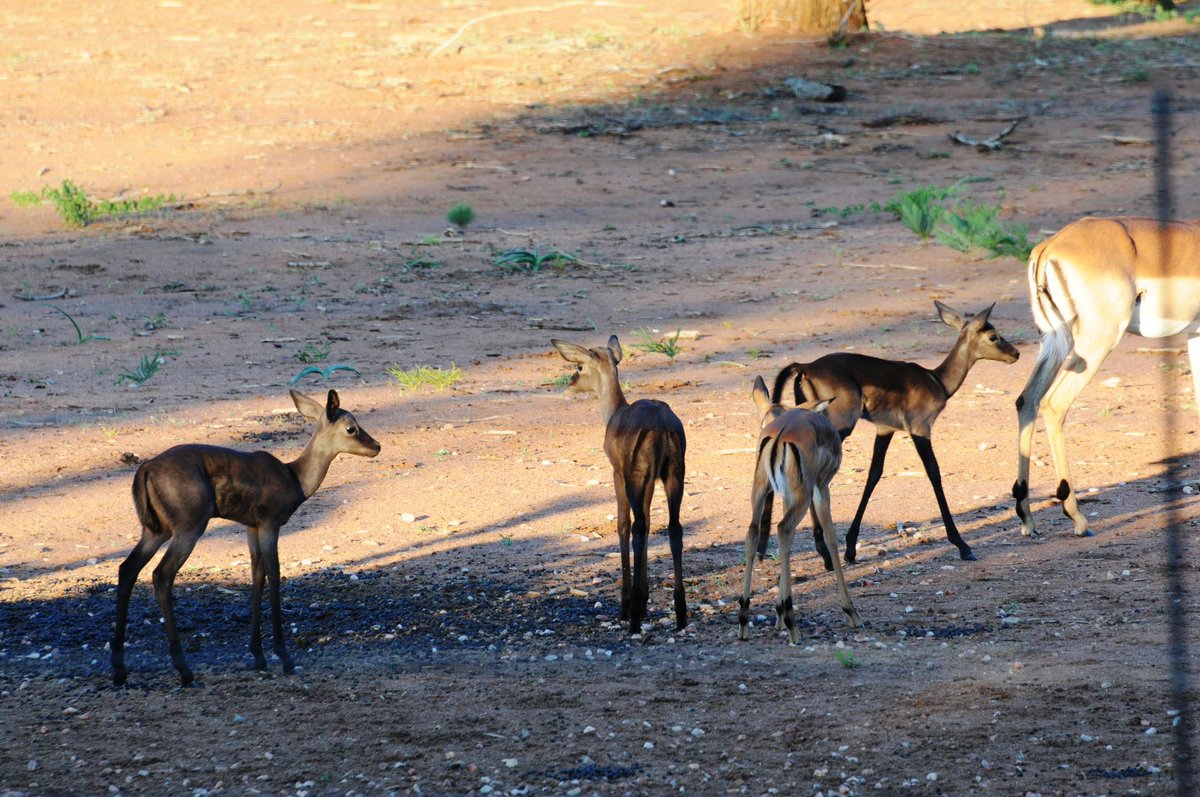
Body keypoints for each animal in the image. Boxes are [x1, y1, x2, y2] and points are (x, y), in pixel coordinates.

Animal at [111, 389, 381, 687]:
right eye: (351, 428)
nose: (376, 446)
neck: (295, 481)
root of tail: (144, 469)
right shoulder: (269, 520)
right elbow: (274, 574)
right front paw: (284, 657)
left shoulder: (251, 526)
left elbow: (257, 576)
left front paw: (258, 655)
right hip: (189, 525)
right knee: (161, 574)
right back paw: (183, 670)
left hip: (156, 530)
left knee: (127, 569)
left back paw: (120, 670)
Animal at [552, 336, 688, 634]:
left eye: (579, 365)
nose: (570, 381)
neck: (615, 412)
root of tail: (661, 426)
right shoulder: (650, 482)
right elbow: (648, 523)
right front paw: (645, 599)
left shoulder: (618, 473)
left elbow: (623, 525)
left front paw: (627, 606)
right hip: (674, 474)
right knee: (672, 527)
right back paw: (681, 615)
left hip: (636, 477)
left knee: (636, 527)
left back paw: (633, 616)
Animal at [739, 376, 861, 643]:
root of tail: (779, 435)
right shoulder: (821, 487)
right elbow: (830, 537)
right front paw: (851, 611)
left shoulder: (786, 495)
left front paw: (777, 615)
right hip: (804, 496)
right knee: (784, 528)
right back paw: (793, 624)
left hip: (761, 492)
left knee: (756, 533)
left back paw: (744, 620)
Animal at [773, 301, 1019, 563]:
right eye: (993, 336)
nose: (1015, 353)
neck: (937, 381)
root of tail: (804, 367)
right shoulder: (921, 429)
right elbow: (934, 472)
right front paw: (962, 545)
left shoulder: (885, 429)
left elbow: (874, 473)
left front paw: (850, 547)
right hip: (839, 426)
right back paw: (821, 550)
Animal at [1014, 217, 1200, 538]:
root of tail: (1051, 245)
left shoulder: (1196, 332)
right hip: (1097, 343)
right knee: (1054, 403)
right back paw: (1077, 518)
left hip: (1055, 342)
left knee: (1028, 400)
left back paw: (1027, 518)